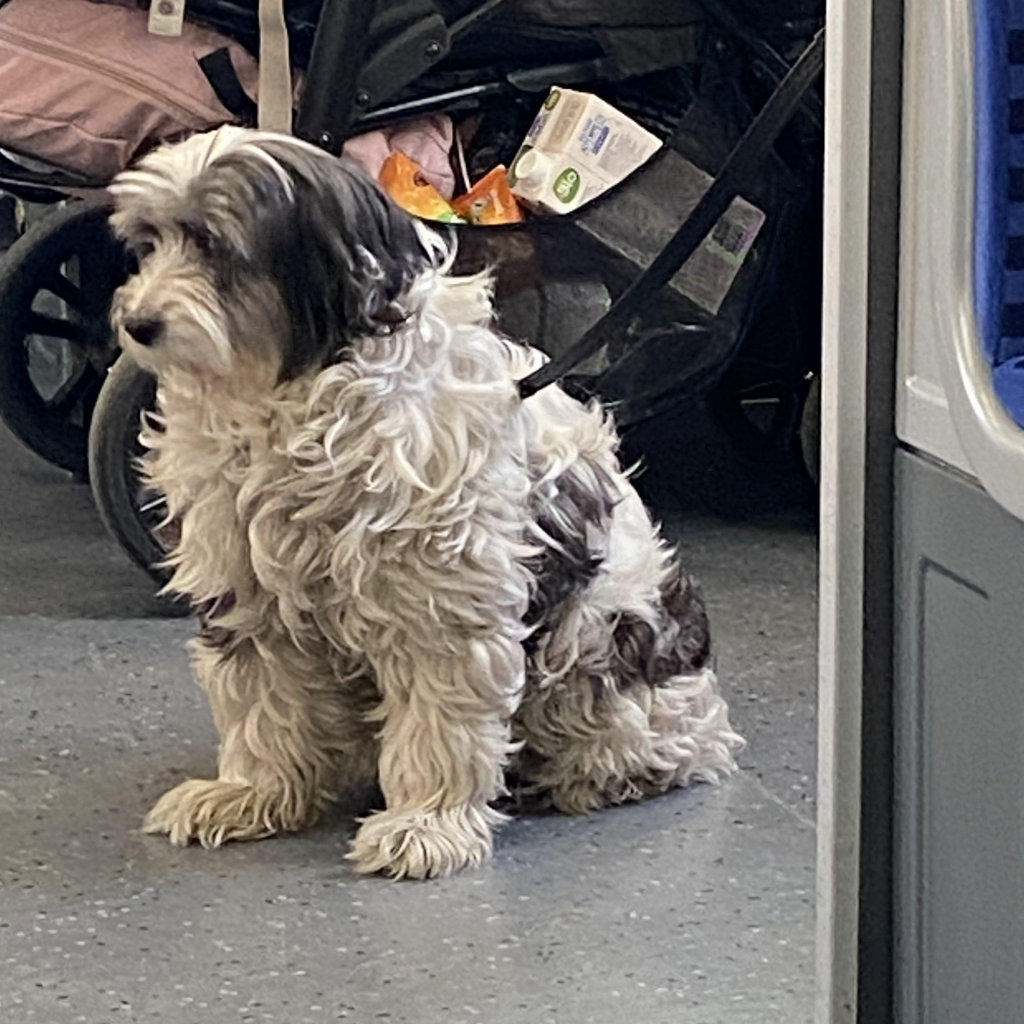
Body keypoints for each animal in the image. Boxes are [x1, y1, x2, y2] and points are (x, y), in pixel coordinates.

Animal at [108, 126, 743, 879]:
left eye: (214, 245)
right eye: (149, 242)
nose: (136, 323)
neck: (295, 394)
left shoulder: (439, 602)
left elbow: (441, 723)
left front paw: (424, 824)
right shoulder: (248, 589)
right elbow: (263, 704)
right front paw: (249, 793)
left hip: (598, 667)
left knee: (656, 748)